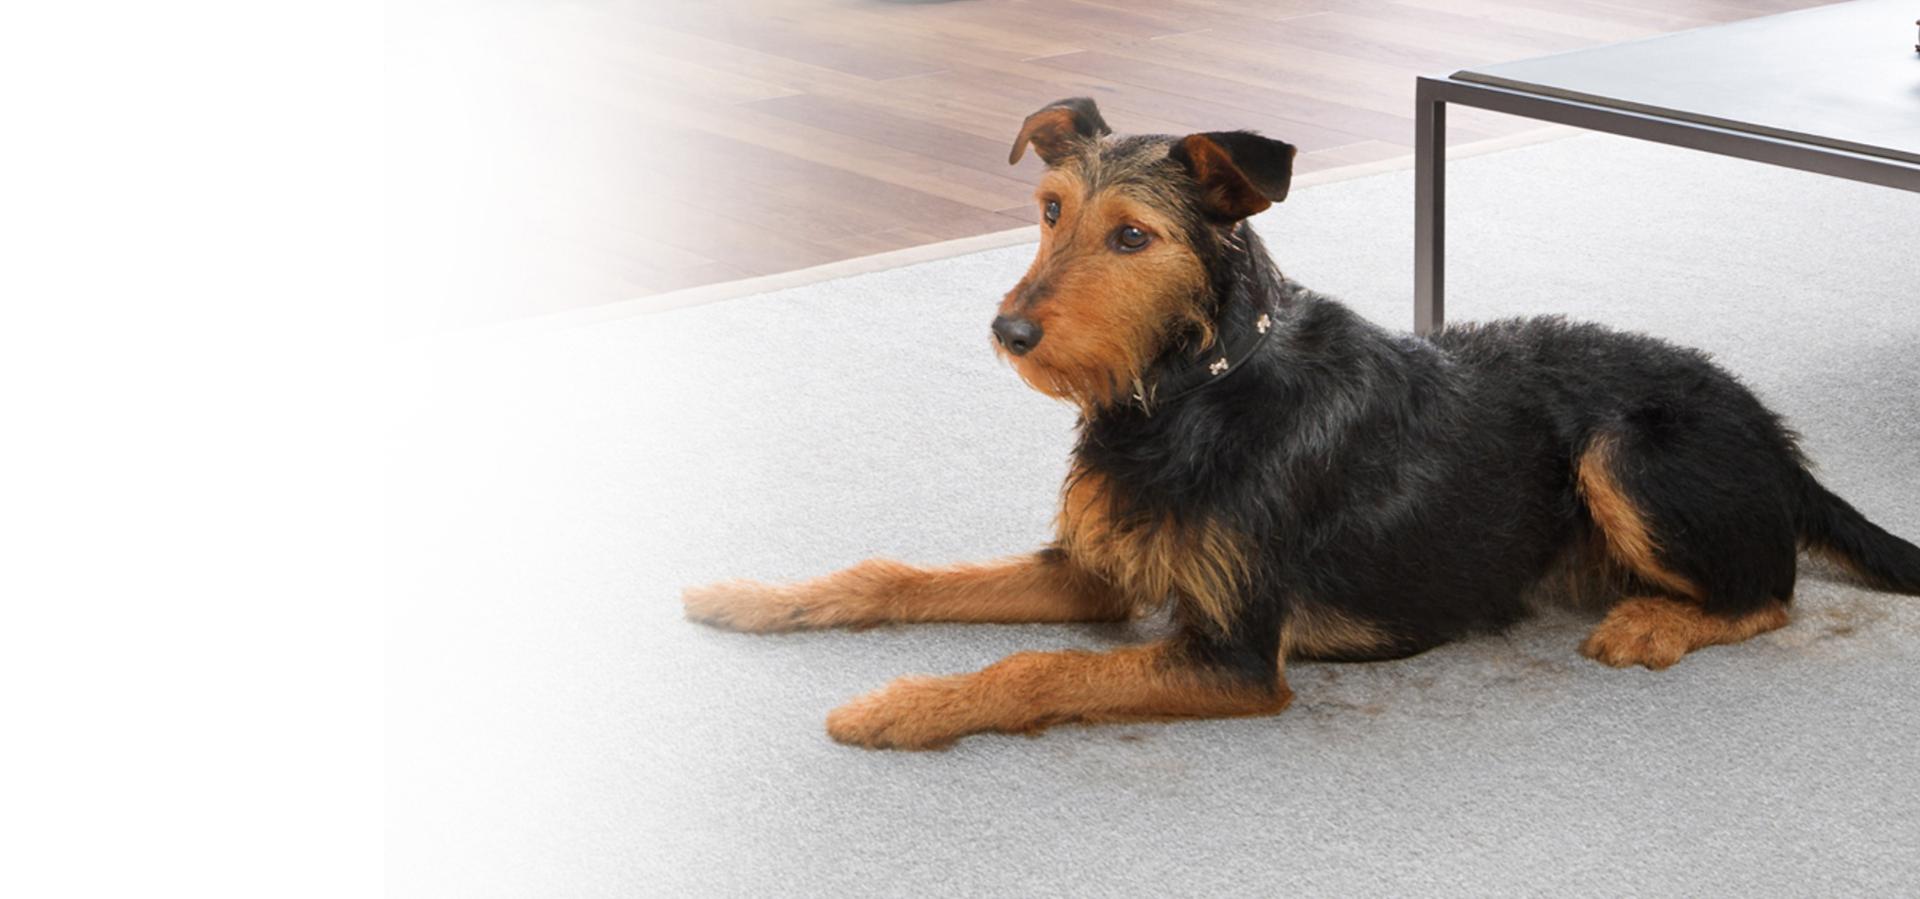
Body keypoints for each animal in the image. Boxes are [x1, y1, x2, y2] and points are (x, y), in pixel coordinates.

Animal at [687, 98, 1920, 753]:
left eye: (1132, 236)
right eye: (1047, 211)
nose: (1010, 329)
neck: (1188, 393)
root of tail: (1776, 431)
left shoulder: (1234, 657)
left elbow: (1035, 667)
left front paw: (901, 704)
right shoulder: (1097, 572)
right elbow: (897, 574)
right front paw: (754, 598)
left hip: (1630, 450)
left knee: (1769, 590)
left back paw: (1652, 623)